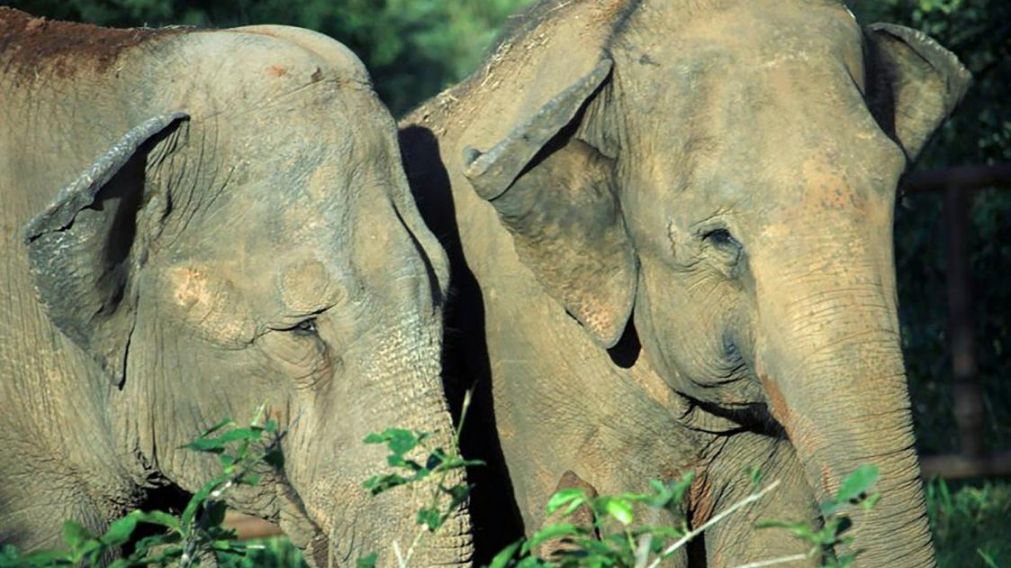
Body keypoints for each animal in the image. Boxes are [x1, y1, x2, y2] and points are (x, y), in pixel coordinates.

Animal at [398, 0, 969, 565]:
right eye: (719, 238)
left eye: (898, 200)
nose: (574, 493)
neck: (611, 42)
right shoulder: (528, 367)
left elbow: (772, 537)